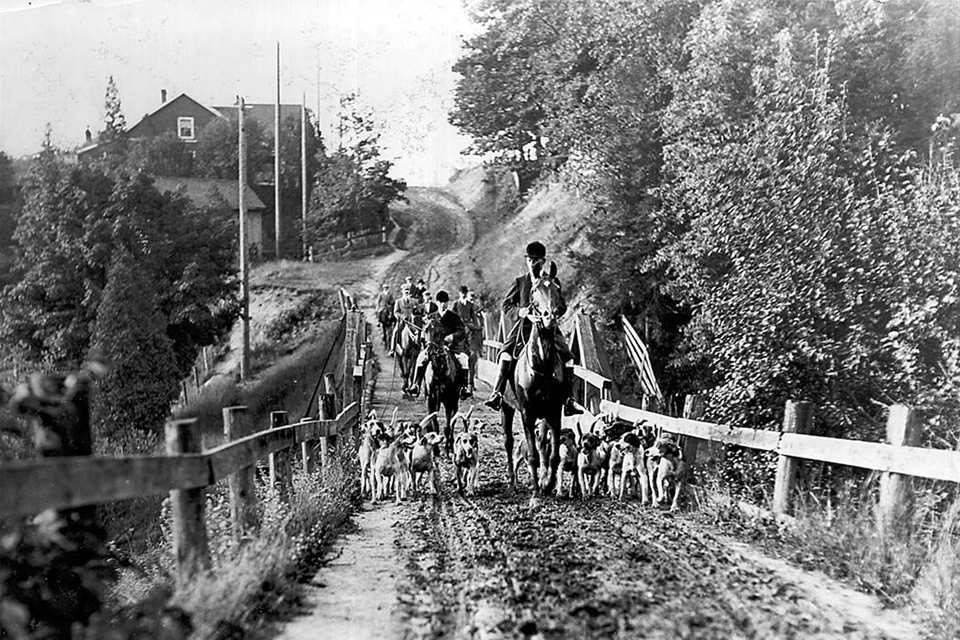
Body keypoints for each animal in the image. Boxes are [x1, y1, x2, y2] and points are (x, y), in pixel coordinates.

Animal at [422, 312, 464, 458]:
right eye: (426, 330)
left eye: (440, 332)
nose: (429, 352)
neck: (439, 371)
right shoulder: (431, 399)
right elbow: (434, 425)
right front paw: (435, 450)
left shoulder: (448, 401)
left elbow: (447, 426)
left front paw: (447, 449)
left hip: (455, 401)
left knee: (452, 423)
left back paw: (451, 446)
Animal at [498, 262, 568, 502]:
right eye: (535, 290)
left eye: (557, 288)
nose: (549, 316)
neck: (543, 366)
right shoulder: (527, 413)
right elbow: (533, 455)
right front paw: (536, 492)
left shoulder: (554, 411)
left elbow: (552, 454)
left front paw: (547, 484)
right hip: (506, 407)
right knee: (509, 442)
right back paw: (513, 482)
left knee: (543, 444)